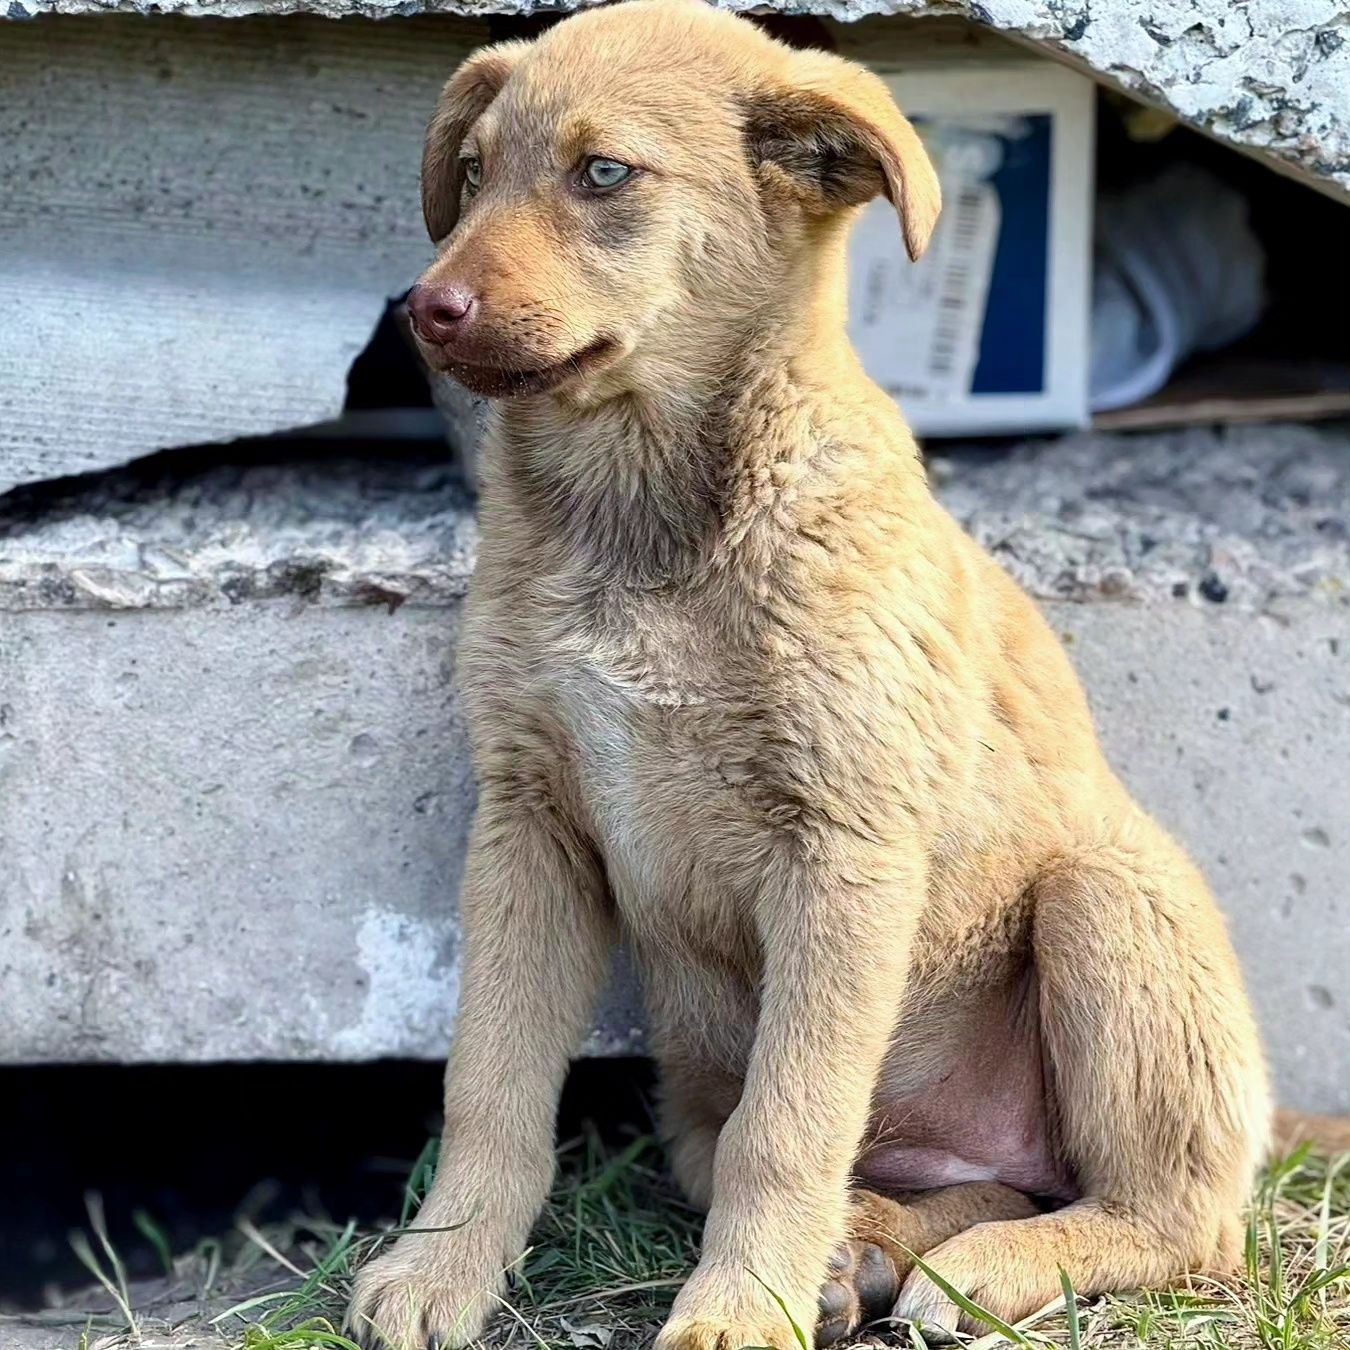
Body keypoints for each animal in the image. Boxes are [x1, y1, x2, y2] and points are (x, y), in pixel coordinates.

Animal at [348, 0, 1285, 1344]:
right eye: (472, 175)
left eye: (604, 174)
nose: (425, 311)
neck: (644, 524)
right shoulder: (528, 821)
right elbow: (491, 1080)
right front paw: (444, 1266)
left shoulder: (845, 847)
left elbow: (788, 1122)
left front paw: (742, 1307)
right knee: (956, 1178)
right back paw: (869, 1254)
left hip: (1105, 901)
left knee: (1175, 1221)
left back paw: (976, 1271)